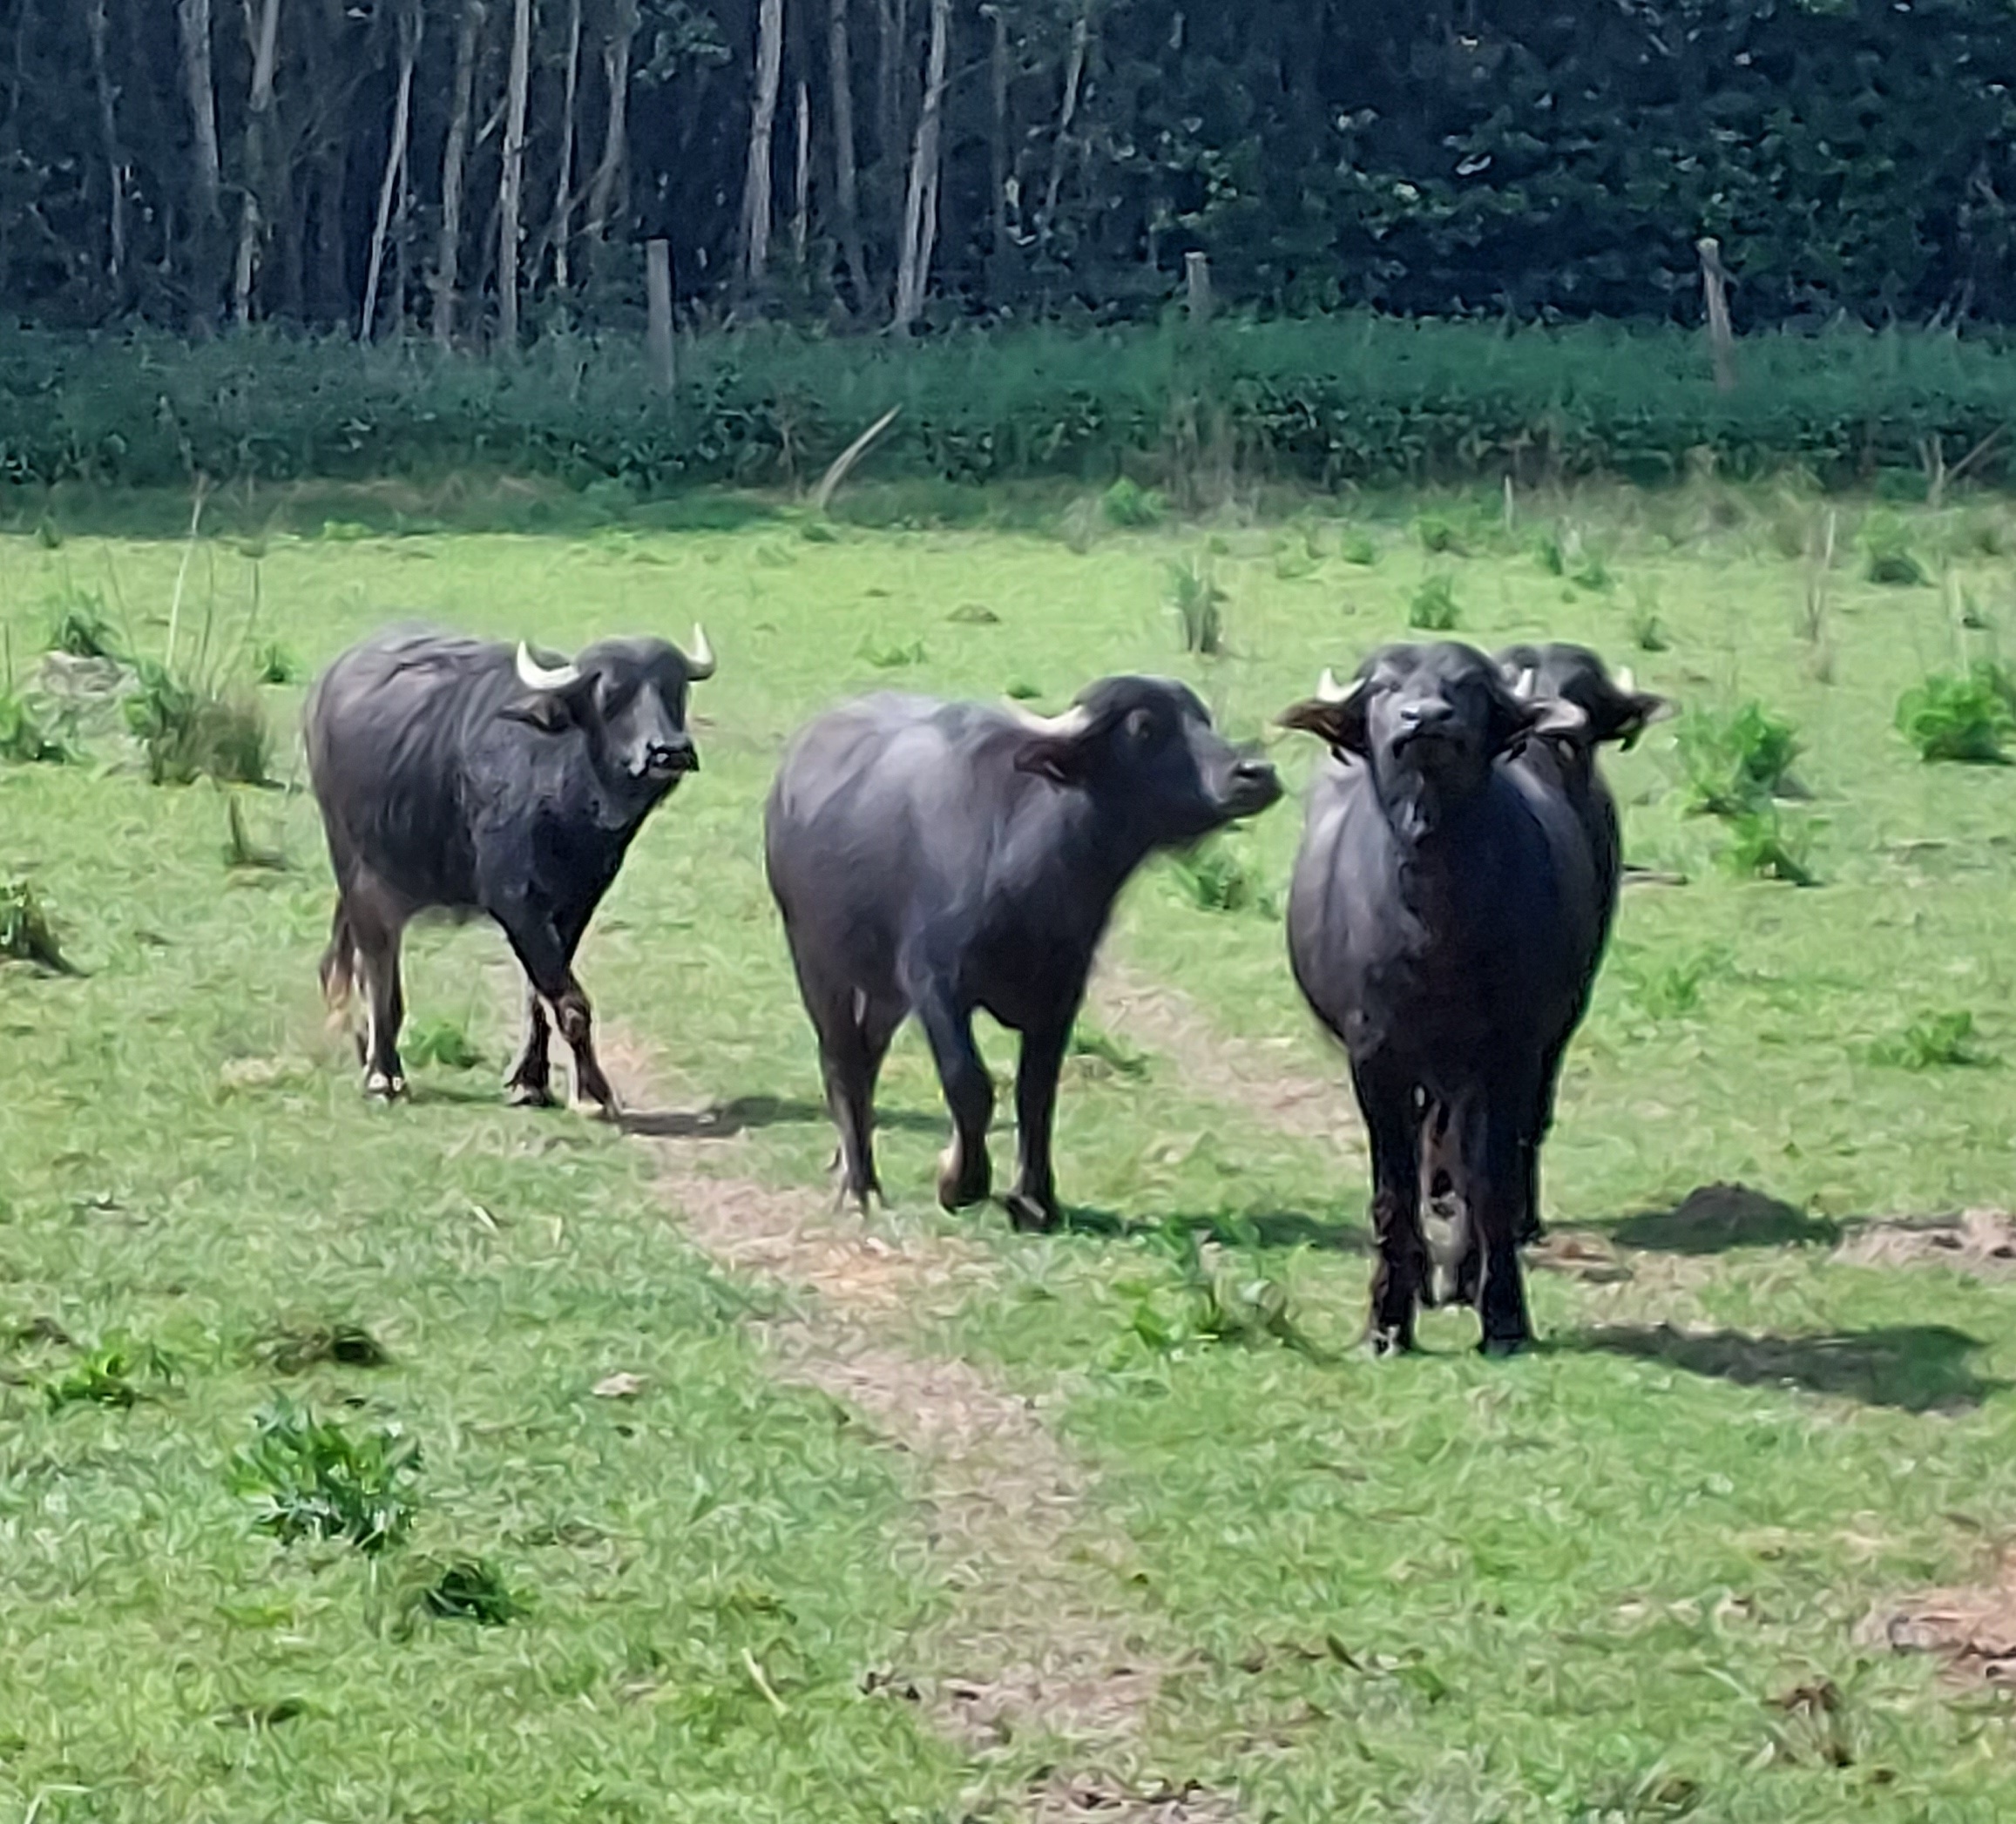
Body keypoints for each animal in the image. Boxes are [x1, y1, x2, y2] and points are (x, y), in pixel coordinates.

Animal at [298, 625, 709, 1112]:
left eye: (675, 689)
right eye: (612, 694)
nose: (670, 752)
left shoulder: (575, 904)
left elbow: (541, 996)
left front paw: (531, 1081)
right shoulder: (516, 902)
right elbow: (571, 1003)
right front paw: (593, 1092)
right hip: (358, 871)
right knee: (378, 970)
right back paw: (383, 1073)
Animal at [761, 677, 1282, 1233]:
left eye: (1203, 720)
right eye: (1144, 728)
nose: (1256, 772)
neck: (1030, 876)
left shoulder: (1061, 992)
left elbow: (1037, 1093)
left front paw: (1034, 1200)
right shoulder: (934, 983)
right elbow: (969, 1084)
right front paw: (960, 1181)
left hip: (883, 991)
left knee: (867, 1055)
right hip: (816, 961)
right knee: (840, 1058)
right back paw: (859, 1186)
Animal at [1282, 645, 1596, 1354]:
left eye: (1469, 686)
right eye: (1384, 687)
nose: (1425, 718)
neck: (1436, 927)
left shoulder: (1510, 1056)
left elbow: (1493, 1185)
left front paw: (1502, 1314)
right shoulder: (1376, 1060)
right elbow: (1395, 1193)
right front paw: (1387, 1320)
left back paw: (1463, 1275)